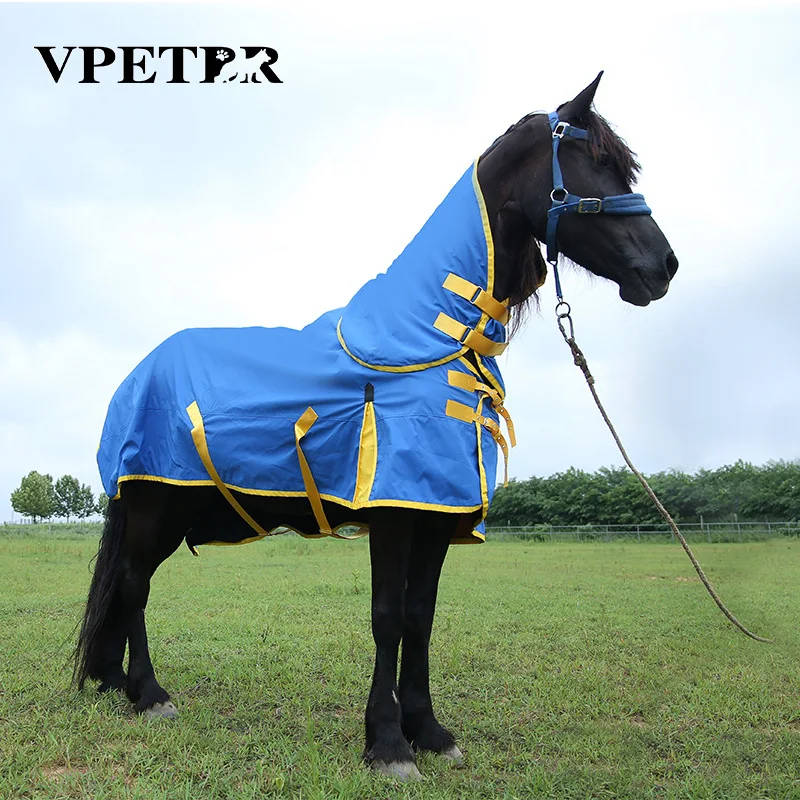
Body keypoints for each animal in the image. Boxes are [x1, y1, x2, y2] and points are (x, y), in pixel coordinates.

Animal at [73, 73, 678, 781]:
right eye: (597, 163)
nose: (663, 267)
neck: (430, 338)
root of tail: (136, 375)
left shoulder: (437, 514)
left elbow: (421, 616)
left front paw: (430, 731)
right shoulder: (394, 510)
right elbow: (387, 617)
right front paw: (388, 743)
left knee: (127, 591)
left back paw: (118, 684)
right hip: (154, 506)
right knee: (134, 586)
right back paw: (149, 694)